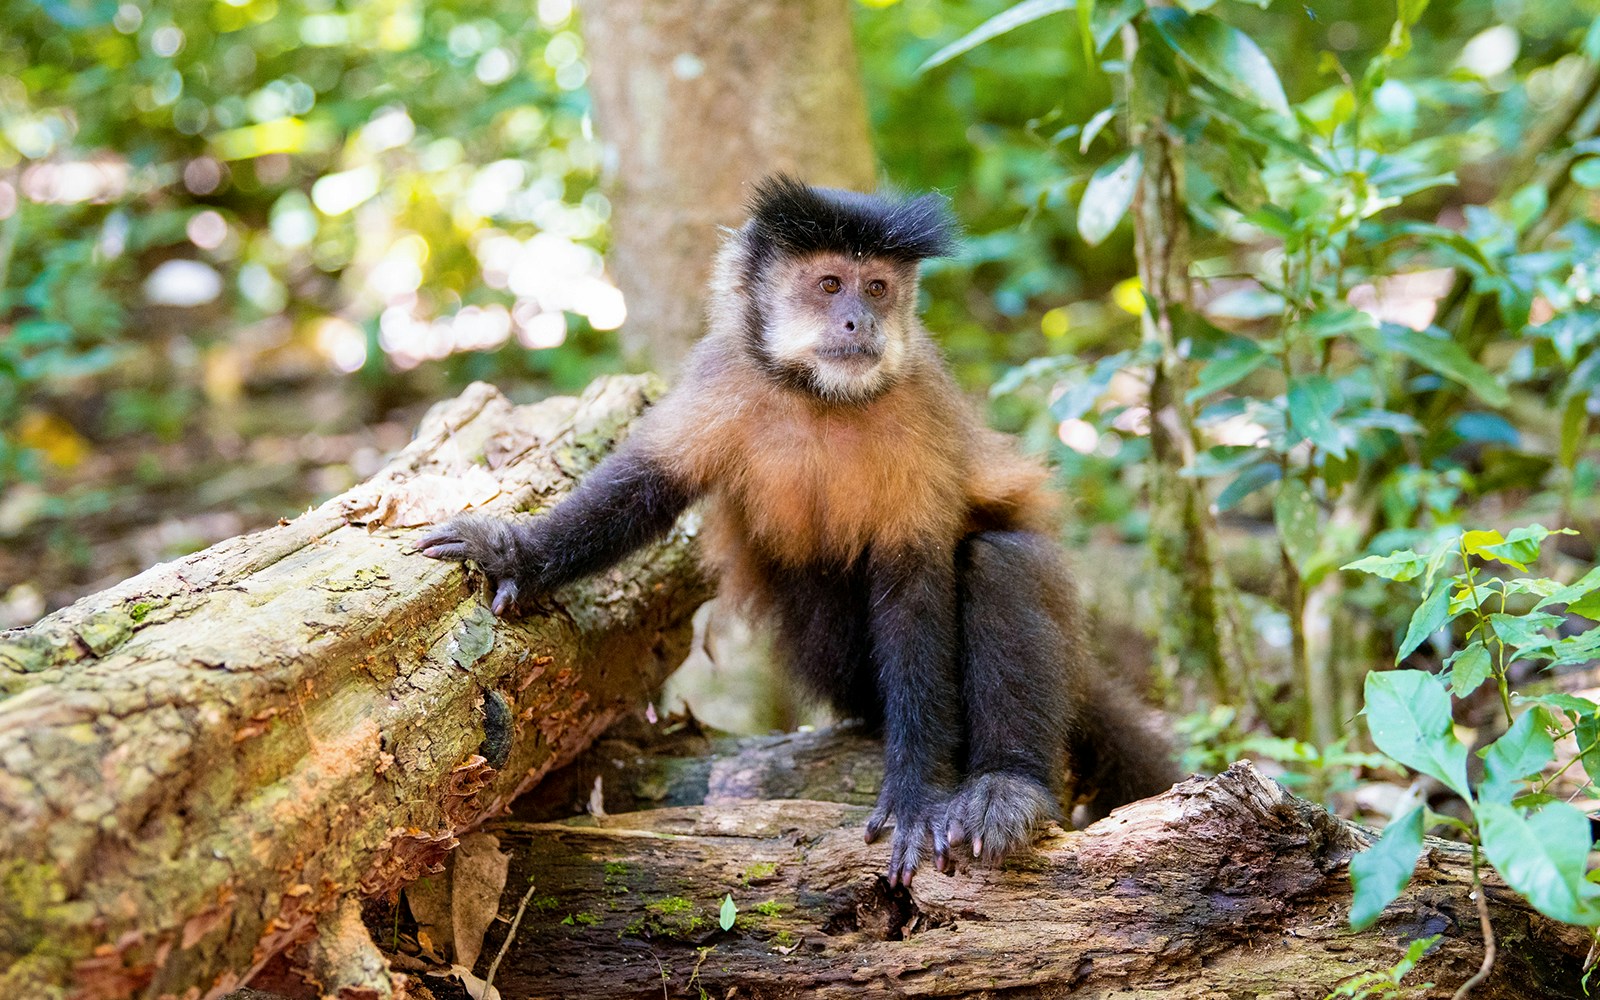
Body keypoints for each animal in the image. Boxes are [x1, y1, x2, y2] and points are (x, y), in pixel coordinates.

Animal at [419, 175, 1184, 883]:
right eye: (830, 284)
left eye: (877, 288)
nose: (859, 323)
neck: (819, 396)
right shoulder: (724, 376)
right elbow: (641, 492)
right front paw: (515, 554)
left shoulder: (917, 409)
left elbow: (916, 590)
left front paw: (917, 794)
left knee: (1000, 560)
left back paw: (1008, 785)